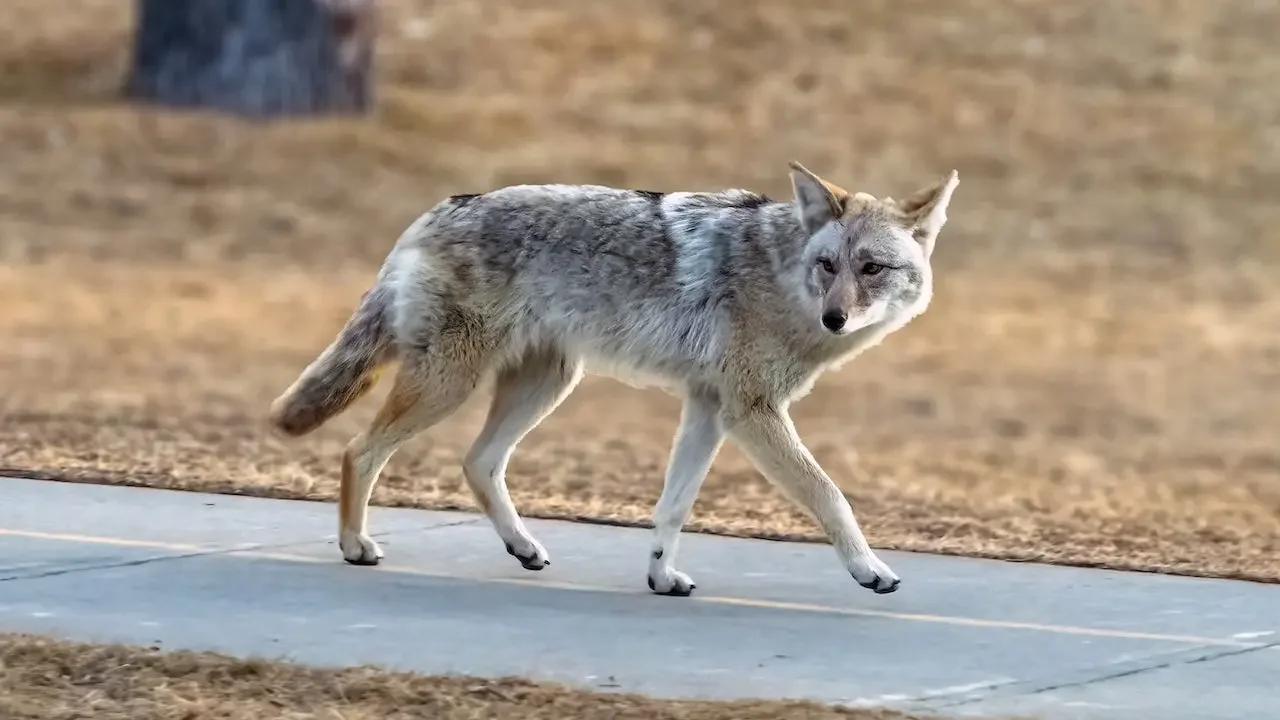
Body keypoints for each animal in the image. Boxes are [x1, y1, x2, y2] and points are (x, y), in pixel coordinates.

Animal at [268, 161, 959, 597]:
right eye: (829, 265)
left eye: (871, 268)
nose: (834, 317)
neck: (782, 277)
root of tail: (441, 208)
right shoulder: (751, 412)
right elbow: (830, 495)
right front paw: (869, 570)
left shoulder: (709, 409)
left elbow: (672, 509)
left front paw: (660, 578)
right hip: (452, 385)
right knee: (359, 449)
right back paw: (355, 545)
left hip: (545, 385)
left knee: (476, 462)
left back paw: (523, 547)